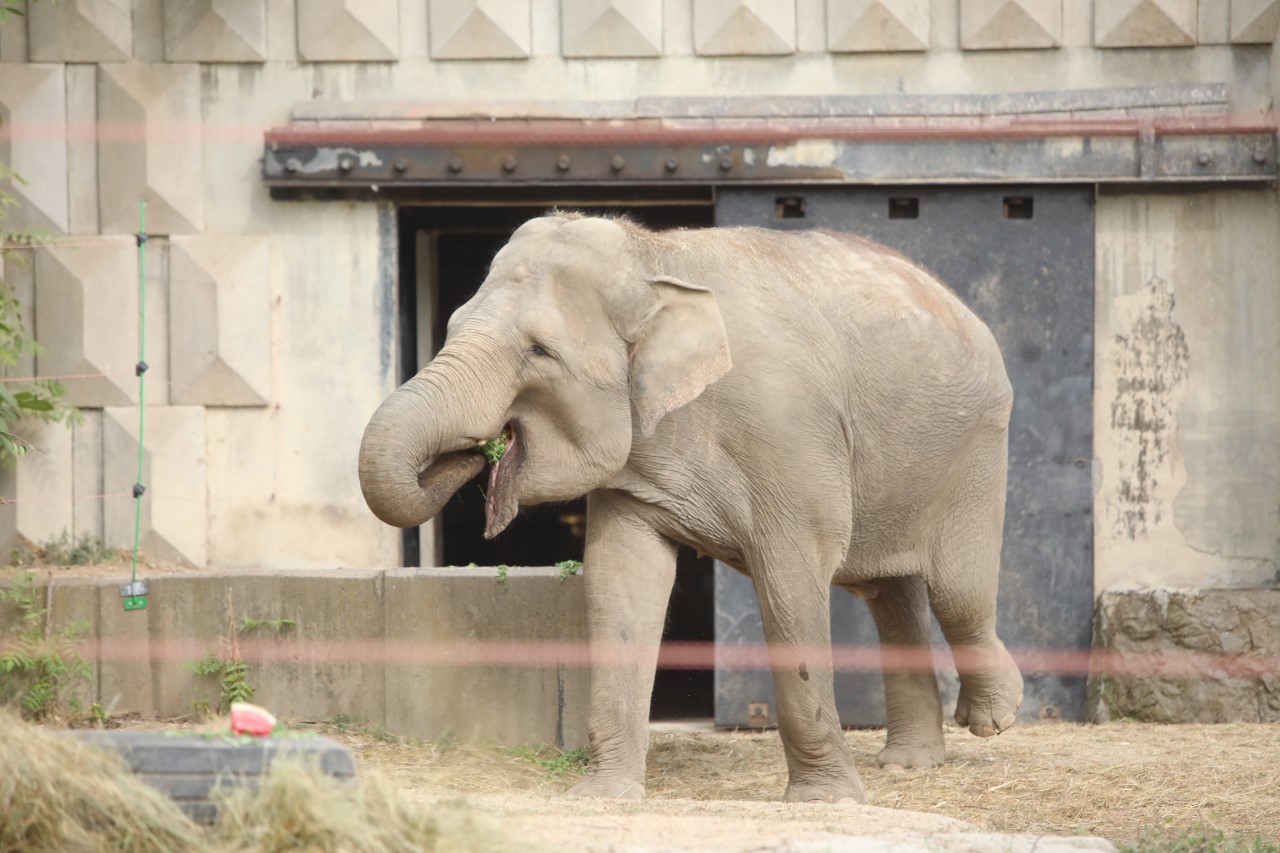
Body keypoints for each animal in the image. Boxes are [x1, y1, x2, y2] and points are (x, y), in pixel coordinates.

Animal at [355, 208, 1024, 799]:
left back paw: (996, 716)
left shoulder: (789, 433)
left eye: (539, 351)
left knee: (956, 591)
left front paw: (826, 801)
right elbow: (622, 584)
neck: (656, 260)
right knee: (890, 591)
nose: (477, 450)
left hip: (977, 444)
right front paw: (604, 796)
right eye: (451, 327)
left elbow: (791, 582)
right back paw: (911, 764)